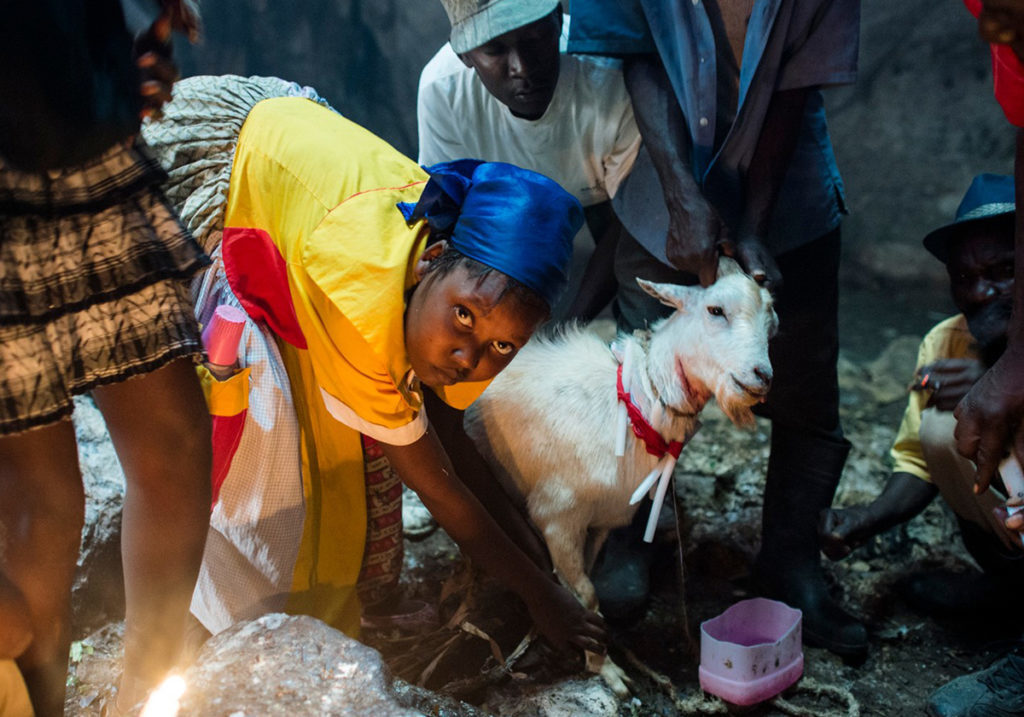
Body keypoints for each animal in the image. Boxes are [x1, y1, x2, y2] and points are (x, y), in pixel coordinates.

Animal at [464, 258, 774, 696]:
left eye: (771, 323)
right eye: (716, 310)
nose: (761, 376)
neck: (629, 407)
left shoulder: (598, 522)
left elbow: (587, 582)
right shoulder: (556, 516)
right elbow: (585, 593)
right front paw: (603, 667)